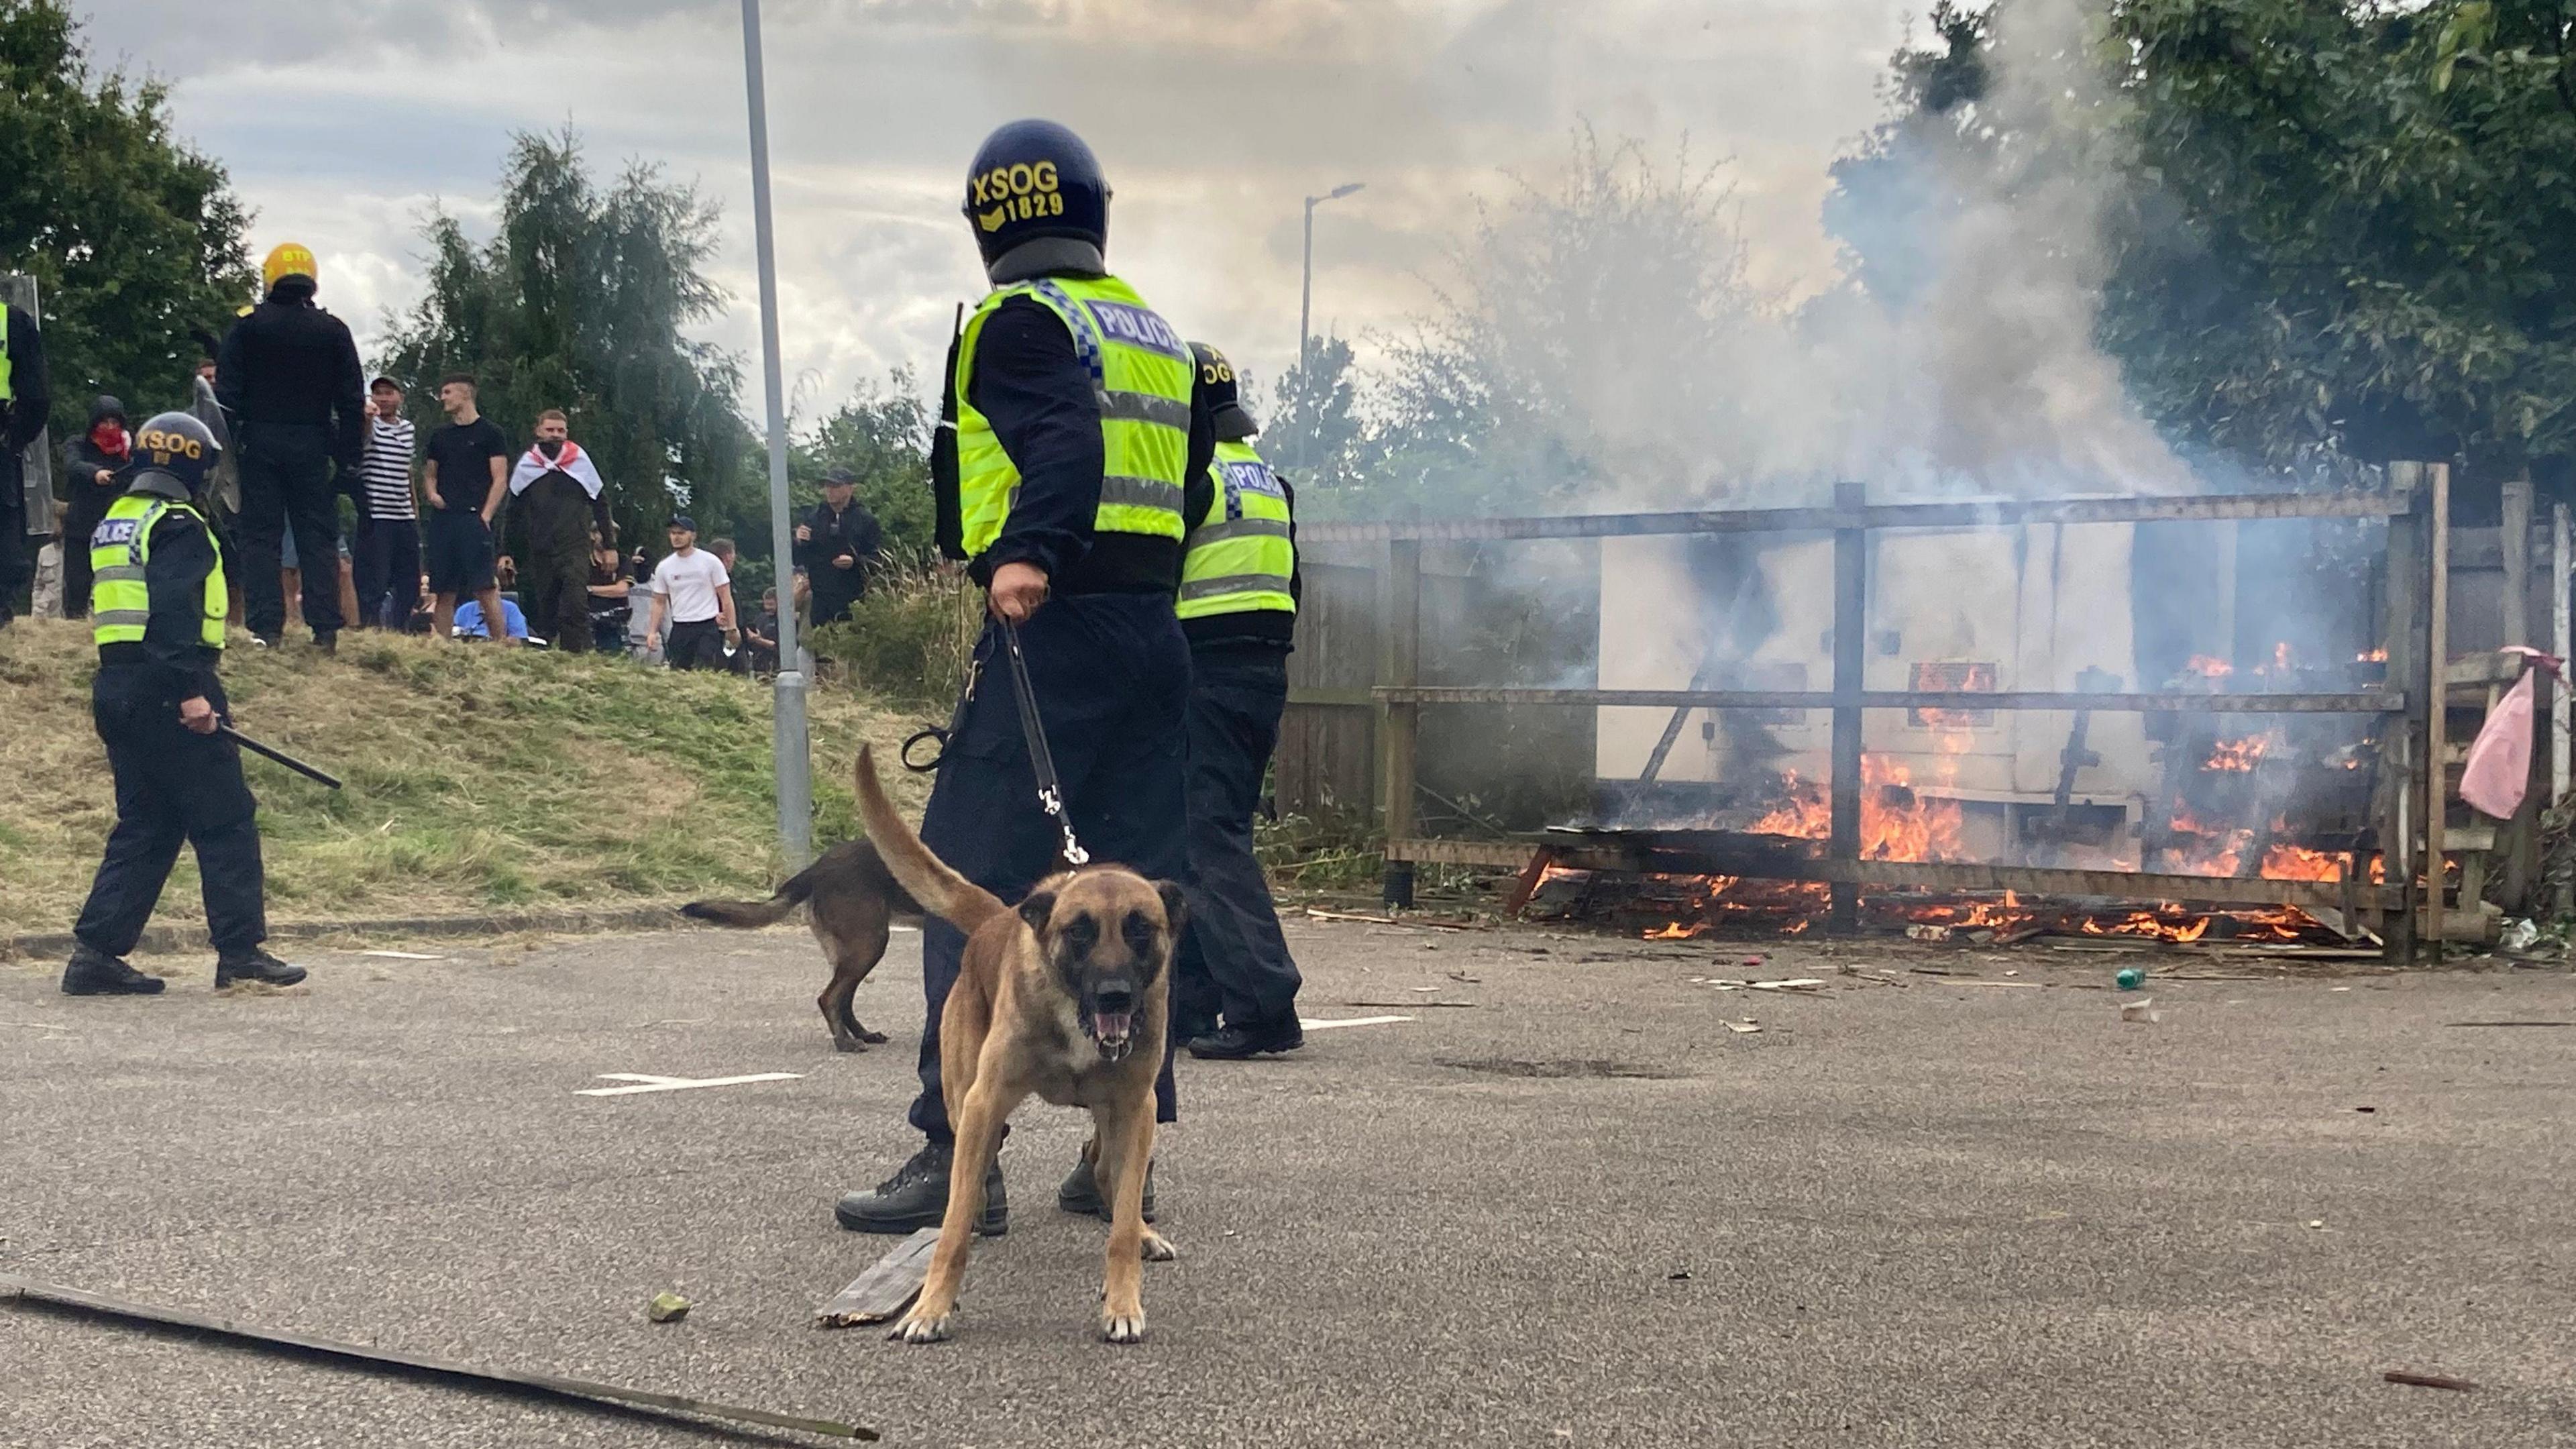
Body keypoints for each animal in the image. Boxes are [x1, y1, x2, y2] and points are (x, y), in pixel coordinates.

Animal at [850, 742, 1190, 1340]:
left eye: (1140, 929)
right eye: (1079, 931)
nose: (1115, 997)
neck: (1072, 1019)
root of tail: (1002, 917)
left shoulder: (1135, 1106)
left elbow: (1123, 1223)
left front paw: (1123, 1300)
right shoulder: (985, 1104)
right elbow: (953, 1231)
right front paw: (931, 1307)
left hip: (1122, 1116)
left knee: (1110, 1174)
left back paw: (1140, 1231)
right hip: (964, 1103)